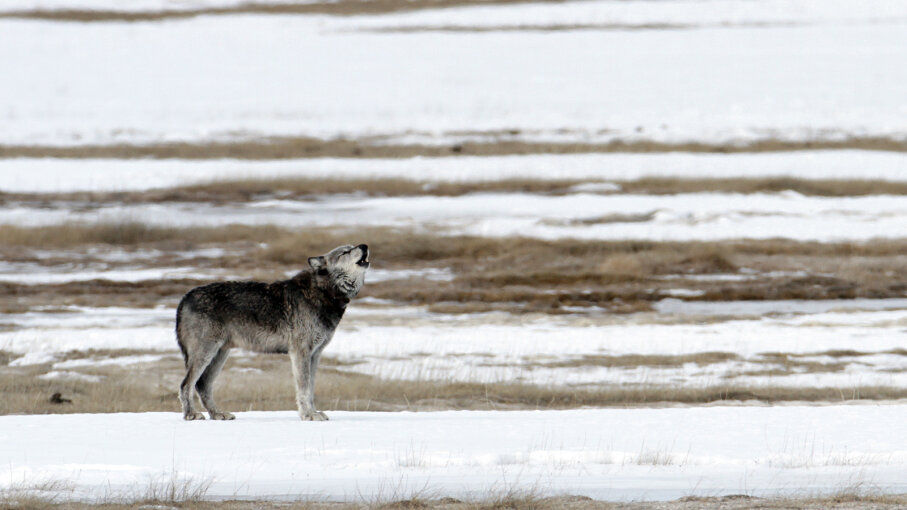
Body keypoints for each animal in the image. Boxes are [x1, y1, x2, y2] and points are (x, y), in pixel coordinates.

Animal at [177, 245, 368, 420]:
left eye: (353, 246)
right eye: (345, 252)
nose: (364, 246)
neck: (323, 292)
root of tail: (185, 297)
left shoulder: (315, 354)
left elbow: (311, 389)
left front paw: (313, 413)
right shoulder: (301, 352)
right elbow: (304, 389)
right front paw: (308, 415)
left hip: (219, 355)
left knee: (202, 385)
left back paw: (218, 414)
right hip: (206, 354)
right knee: (186, 384)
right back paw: (191, 414)